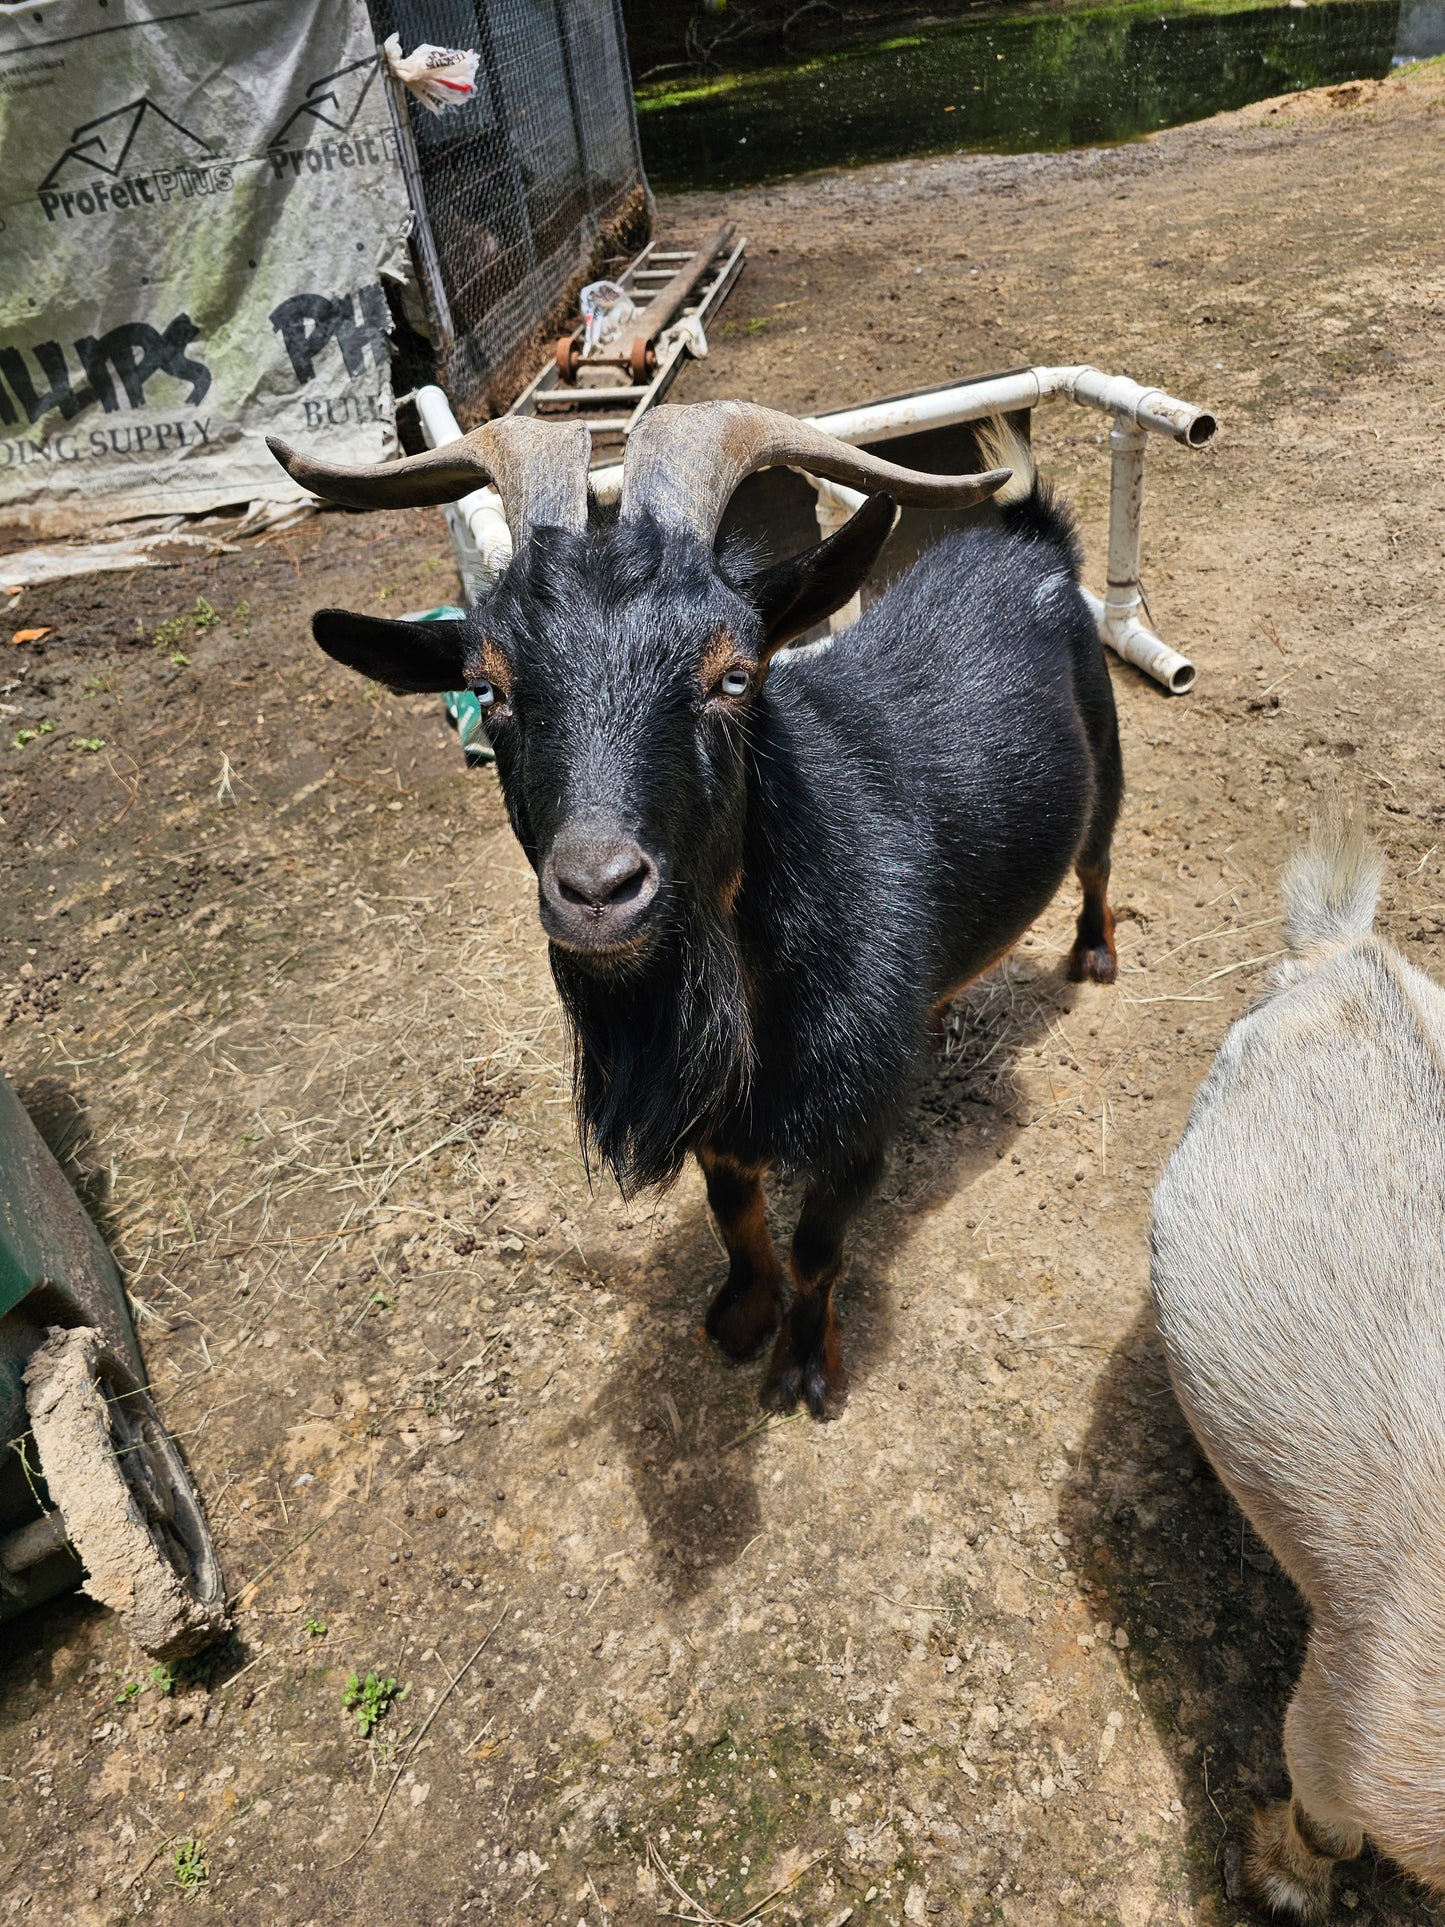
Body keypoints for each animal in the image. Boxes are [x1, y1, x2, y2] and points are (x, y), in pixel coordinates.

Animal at [269, 401, 1122, 1418]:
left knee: (1098, 860)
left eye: (736, 675)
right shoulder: (717, 1119)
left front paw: (805, 1369)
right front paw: (741, 1315)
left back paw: (1095, 957)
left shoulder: (857, 1127)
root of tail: (1029, 542)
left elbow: (817, 1249)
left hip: (1106, 754)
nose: (598, 889)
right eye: (487, 687)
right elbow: (733, 1215)